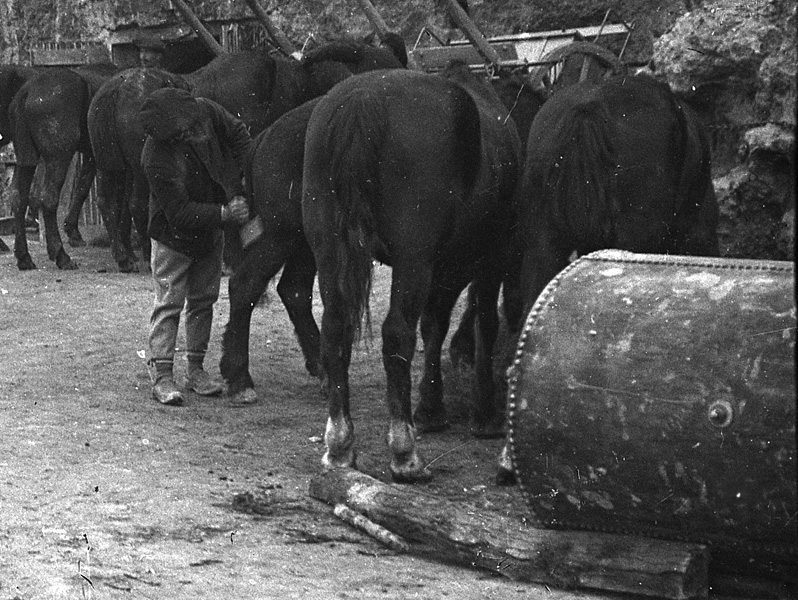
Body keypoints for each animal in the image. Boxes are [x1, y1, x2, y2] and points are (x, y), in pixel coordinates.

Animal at [1, 63, 119, 270]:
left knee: (18, 196)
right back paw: (61, 255)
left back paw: (24, 257)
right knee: (48, 198)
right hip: (59, 156)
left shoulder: (91, 154)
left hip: (27, 157)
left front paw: (73, 230)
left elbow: (82, 186)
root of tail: (28, 90)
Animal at [300, 62, 524, 482]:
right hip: (413, 258)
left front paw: (431, 407)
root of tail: (363, 99)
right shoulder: (493, 254)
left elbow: (435, 324)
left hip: (331, 248)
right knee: (397, 333)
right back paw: (404, 452)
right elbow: (484, 323)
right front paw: (484, 413)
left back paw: (340, 446)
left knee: (336, 329)